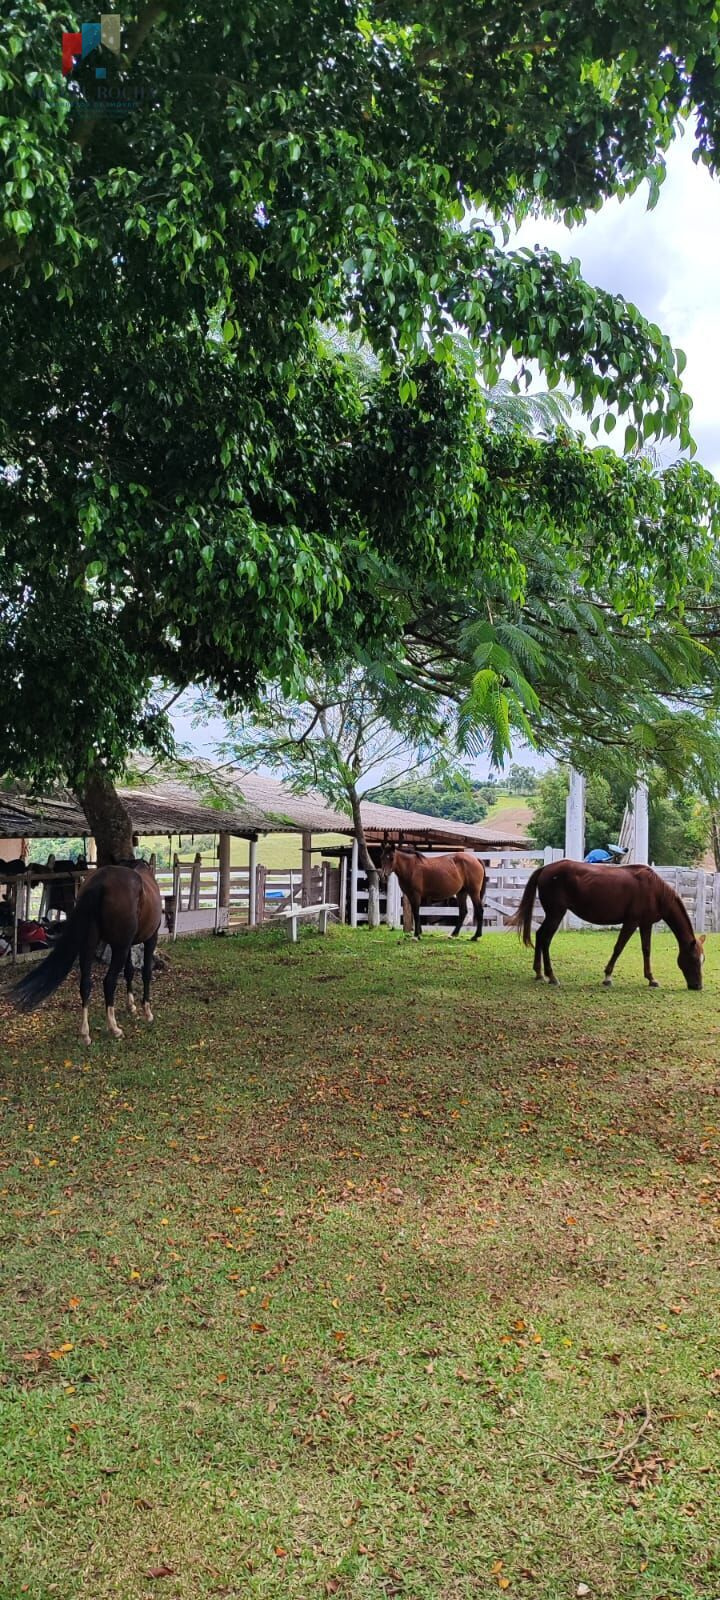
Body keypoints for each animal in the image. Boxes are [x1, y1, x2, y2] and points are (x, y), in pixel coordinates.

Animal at [12, 870, 161, 1043]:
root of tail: (101, 881)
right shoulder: (150, 938)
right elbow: (145, 973)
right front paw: (147, 1012)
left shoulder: (130, 943)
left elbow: (129, 971)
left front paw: (131, 1006)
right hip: (119, 948)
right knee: (109, 982)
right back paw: (114, 1028)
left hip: (91, 944)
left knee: (85, 984)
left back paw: (85, 1033)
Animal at [508, 864, 707, 985]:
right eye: (693, 959)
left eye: (702, 960)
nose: (697, 986)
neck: (655, 891)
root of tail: (546, 868)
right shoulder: (631, 922)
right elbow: (618, 947)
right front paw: (608, 976)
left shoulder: (645, 924)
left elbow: (646, 950)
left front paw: (651, 979)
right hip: (556, 914)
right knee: (545, 938)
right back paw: (551, 976)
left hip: (553, 914)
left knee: (540, 936)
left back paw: (539, 973)